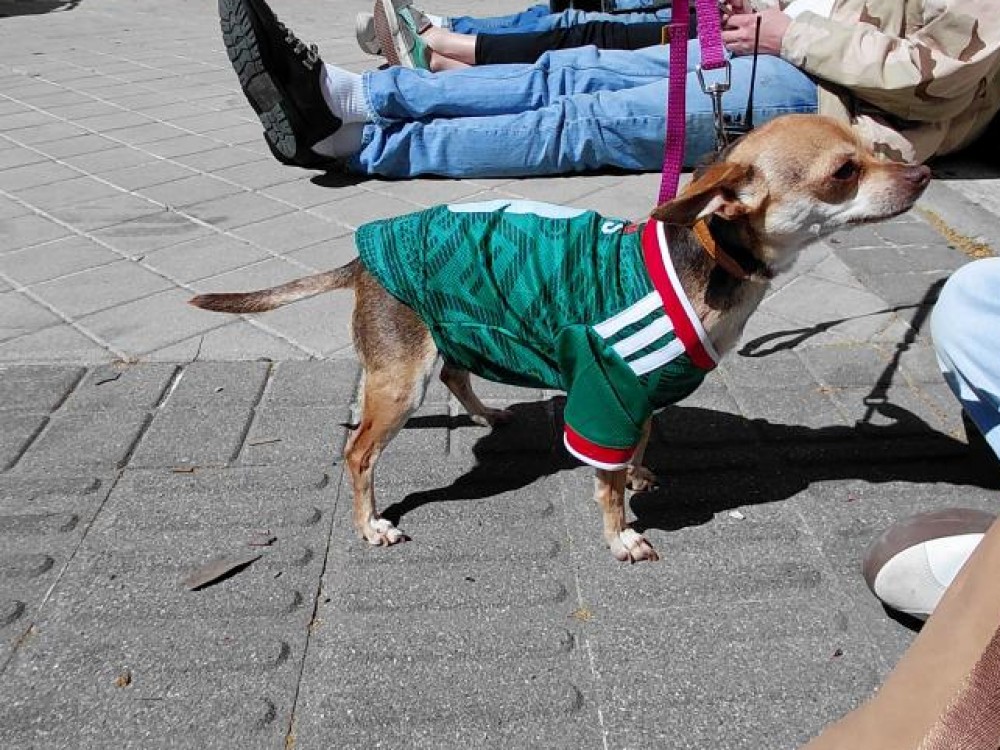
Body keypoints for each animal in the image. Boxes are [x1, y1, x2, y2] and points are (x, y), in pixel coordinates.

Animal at [190, 114, 930, 564]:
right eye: (844, 172)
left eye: (876, 147)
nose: (923, 172)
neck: (711, 265)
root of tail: (363, 257)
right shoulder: (606, 391)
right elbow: (605, 482)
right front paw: (621, 535)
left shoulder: (637, 397)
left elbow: (637, 447)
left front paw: (638, 474)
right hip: (400, 384)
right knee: (359, 453)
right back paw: (371, 522)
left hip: (453, 333)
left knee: (458, 373)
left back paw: (487, 413)